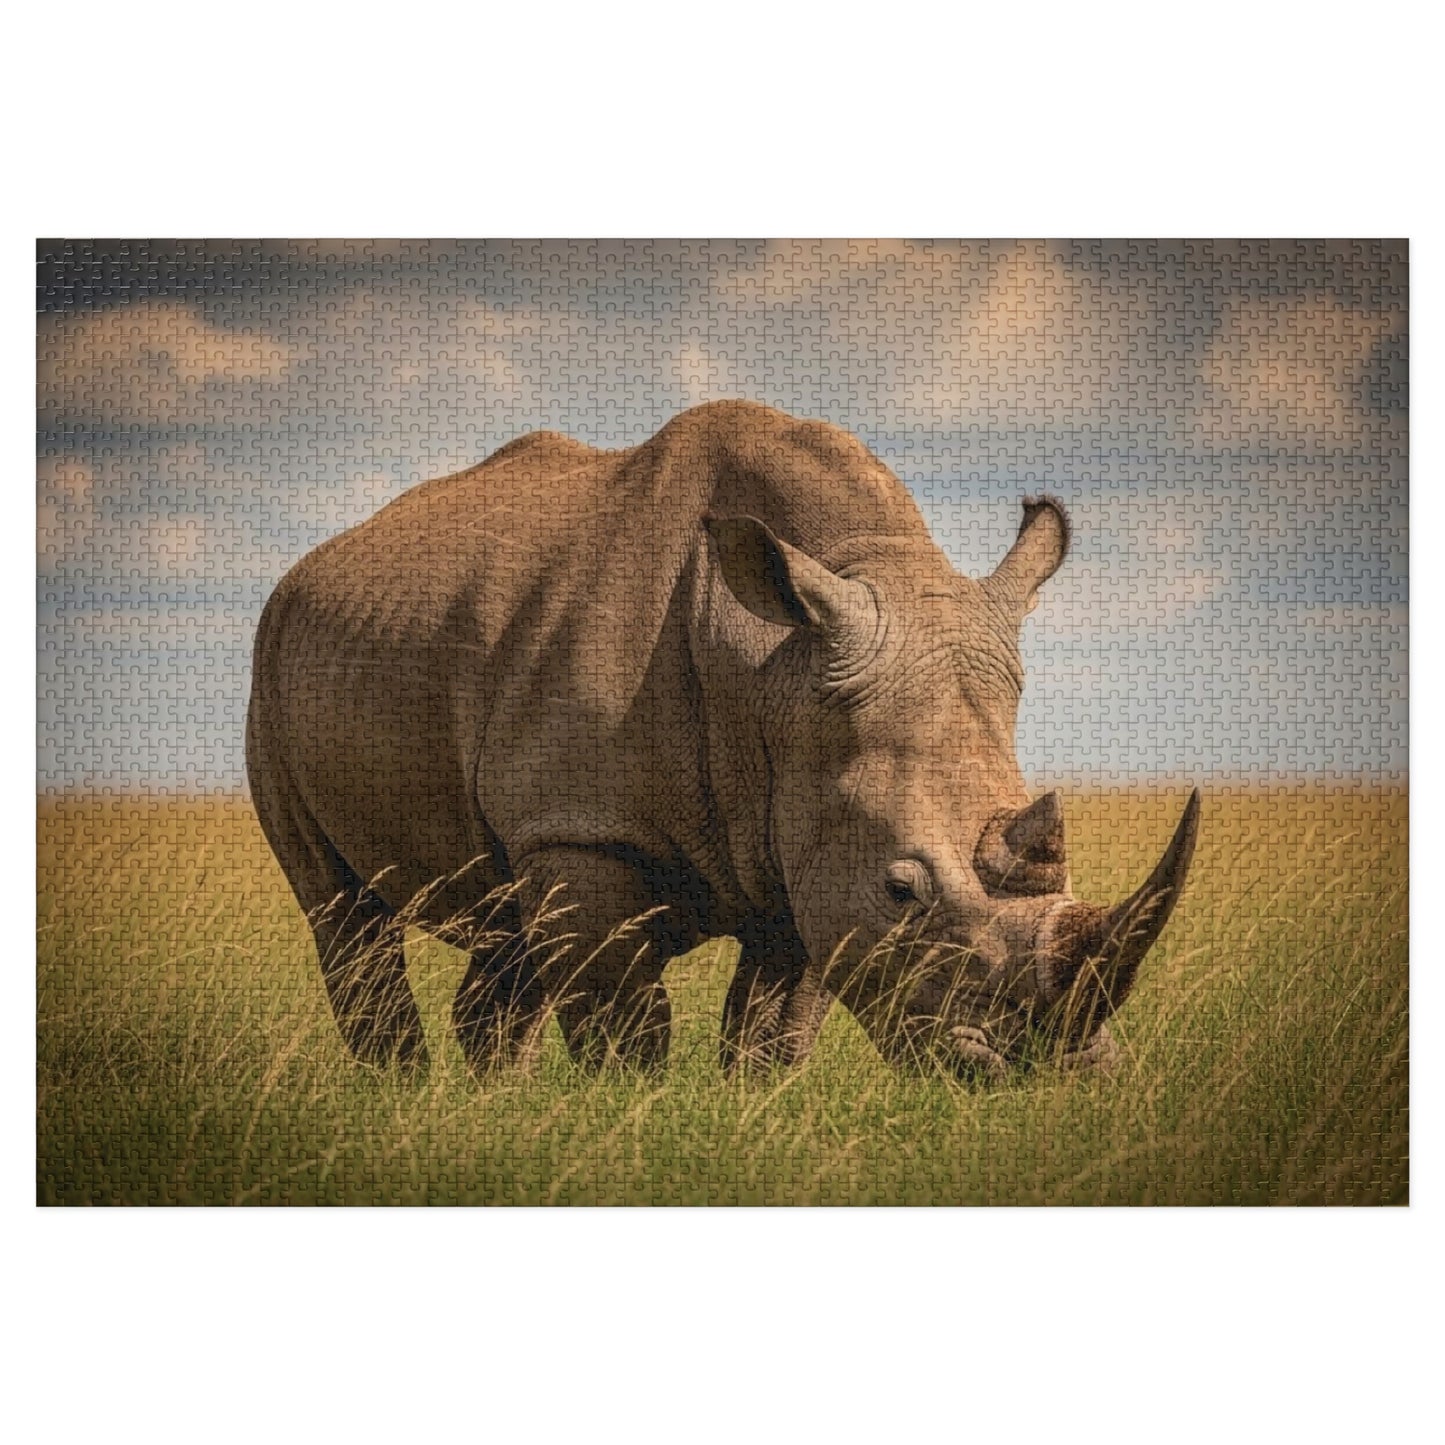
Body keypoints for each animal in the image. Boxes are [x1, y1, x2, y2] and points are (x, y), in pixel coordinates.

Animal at [247, 401, 1197, 1078]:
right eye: (900, 891)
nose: (1055, 1072)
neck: (776, 671)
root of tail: (318, 561)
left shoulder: (804, 838)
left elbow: (773, 1029)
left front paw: (750, 1113)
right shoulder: (585, 830)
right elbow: (625, 1028)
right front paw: (629, 1119)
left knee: (504, 928)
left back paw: (487, 1103)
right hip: (272, 656)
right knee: (344, 919)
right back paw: (402, 1093)